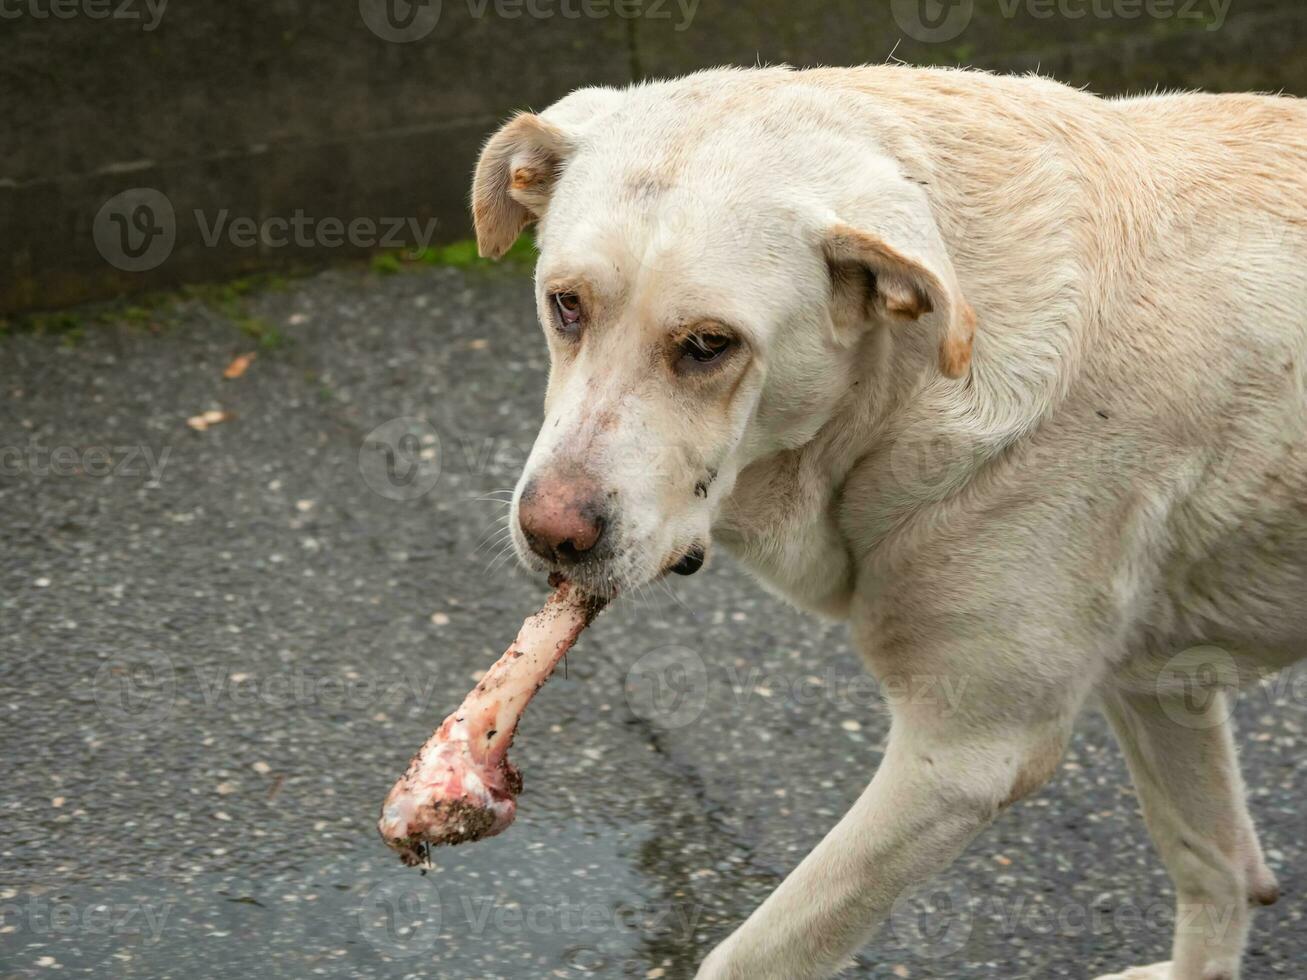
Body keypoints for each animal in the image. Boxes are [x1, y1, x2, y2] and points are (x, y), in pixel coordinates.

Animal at [470, 67, 1307, 980]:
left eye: (708, 345)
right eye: (565, 306)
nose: (550, 535)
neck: (906, 387)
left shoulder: (963, 758)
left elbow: (753, 953)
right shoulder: (1160, 682)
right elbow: (1215, 865)